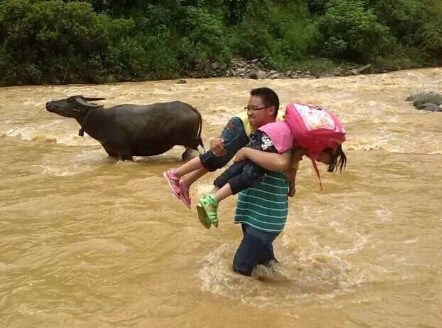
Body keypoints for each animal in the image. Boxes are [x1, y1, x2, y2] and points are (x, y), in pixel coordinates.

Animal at [45, 95, 203, 160]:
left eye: (70, 100)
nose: (48, 103)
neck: (103, 121)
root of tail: (191, 108)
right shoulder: (111, 152)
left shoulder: (126, 153)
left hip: (190, 143)